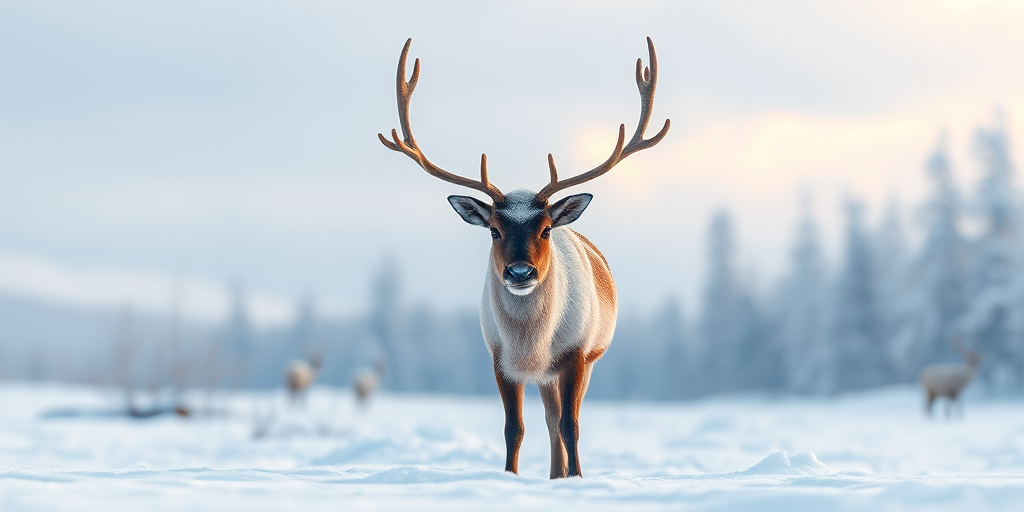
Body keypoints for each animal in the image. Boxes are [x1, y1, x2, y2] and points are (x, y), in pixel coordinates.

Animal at [378, 38, 669, 478]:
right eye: (494, 230)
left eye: (545, 229)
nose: (519, 271)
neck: (532, 343)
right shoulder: (499, 358)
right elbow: (514, 428)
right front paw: (511, 477)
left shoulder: (576, 354)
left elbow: (571, 425)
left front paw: (578, 479)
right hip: (544, 375)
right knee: (548, 420)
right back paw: (553, 474)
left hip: (586, 359)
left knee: (560, 420)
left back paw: (563, 474)